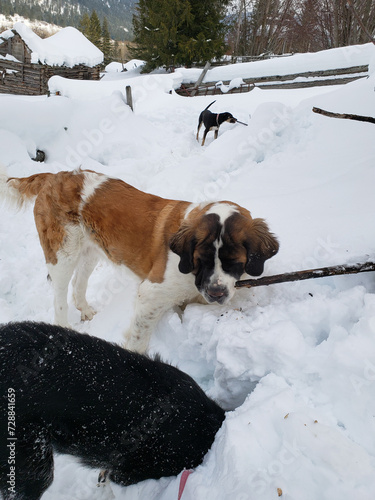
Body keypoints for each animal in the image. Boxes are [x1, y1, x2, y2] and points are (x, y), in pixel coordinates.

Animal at [0, 168, 280, 352]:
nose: (216, 292)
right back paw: (65, 327)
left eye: (234, 262)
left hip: (91, 250)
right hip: (63, 253)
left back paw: (86, 310)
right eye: (201, 260)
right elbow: (138, 336)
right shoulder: (151, 294)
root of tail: (56, 175)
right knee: (59, 296)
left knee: (79, 282)